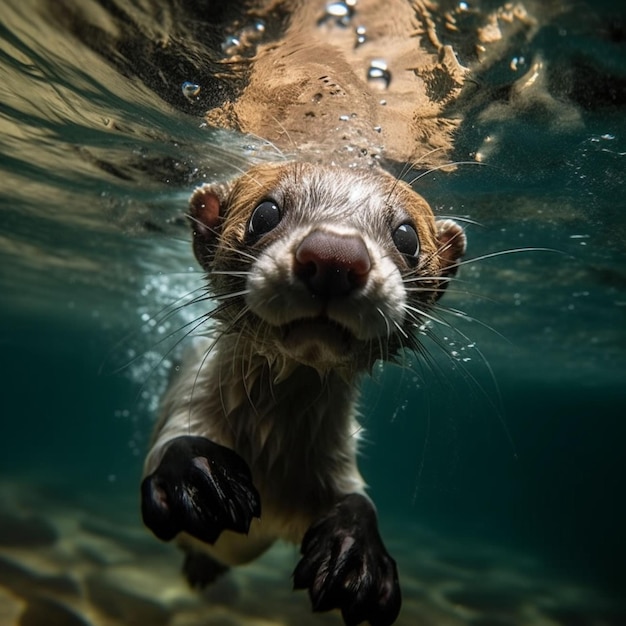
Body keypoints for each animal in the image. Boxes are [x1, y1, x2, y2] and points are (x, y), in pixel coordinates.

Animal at [141, 1, 468, 624]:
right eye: (265, 213)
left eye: (407, 236)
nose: (335, 256)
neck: (271, 460)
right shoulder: (185, 397)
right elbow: (170, 442)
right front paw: (199, 474)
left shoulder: (336, 464)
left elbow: (358, 499)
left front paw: (357, 555)